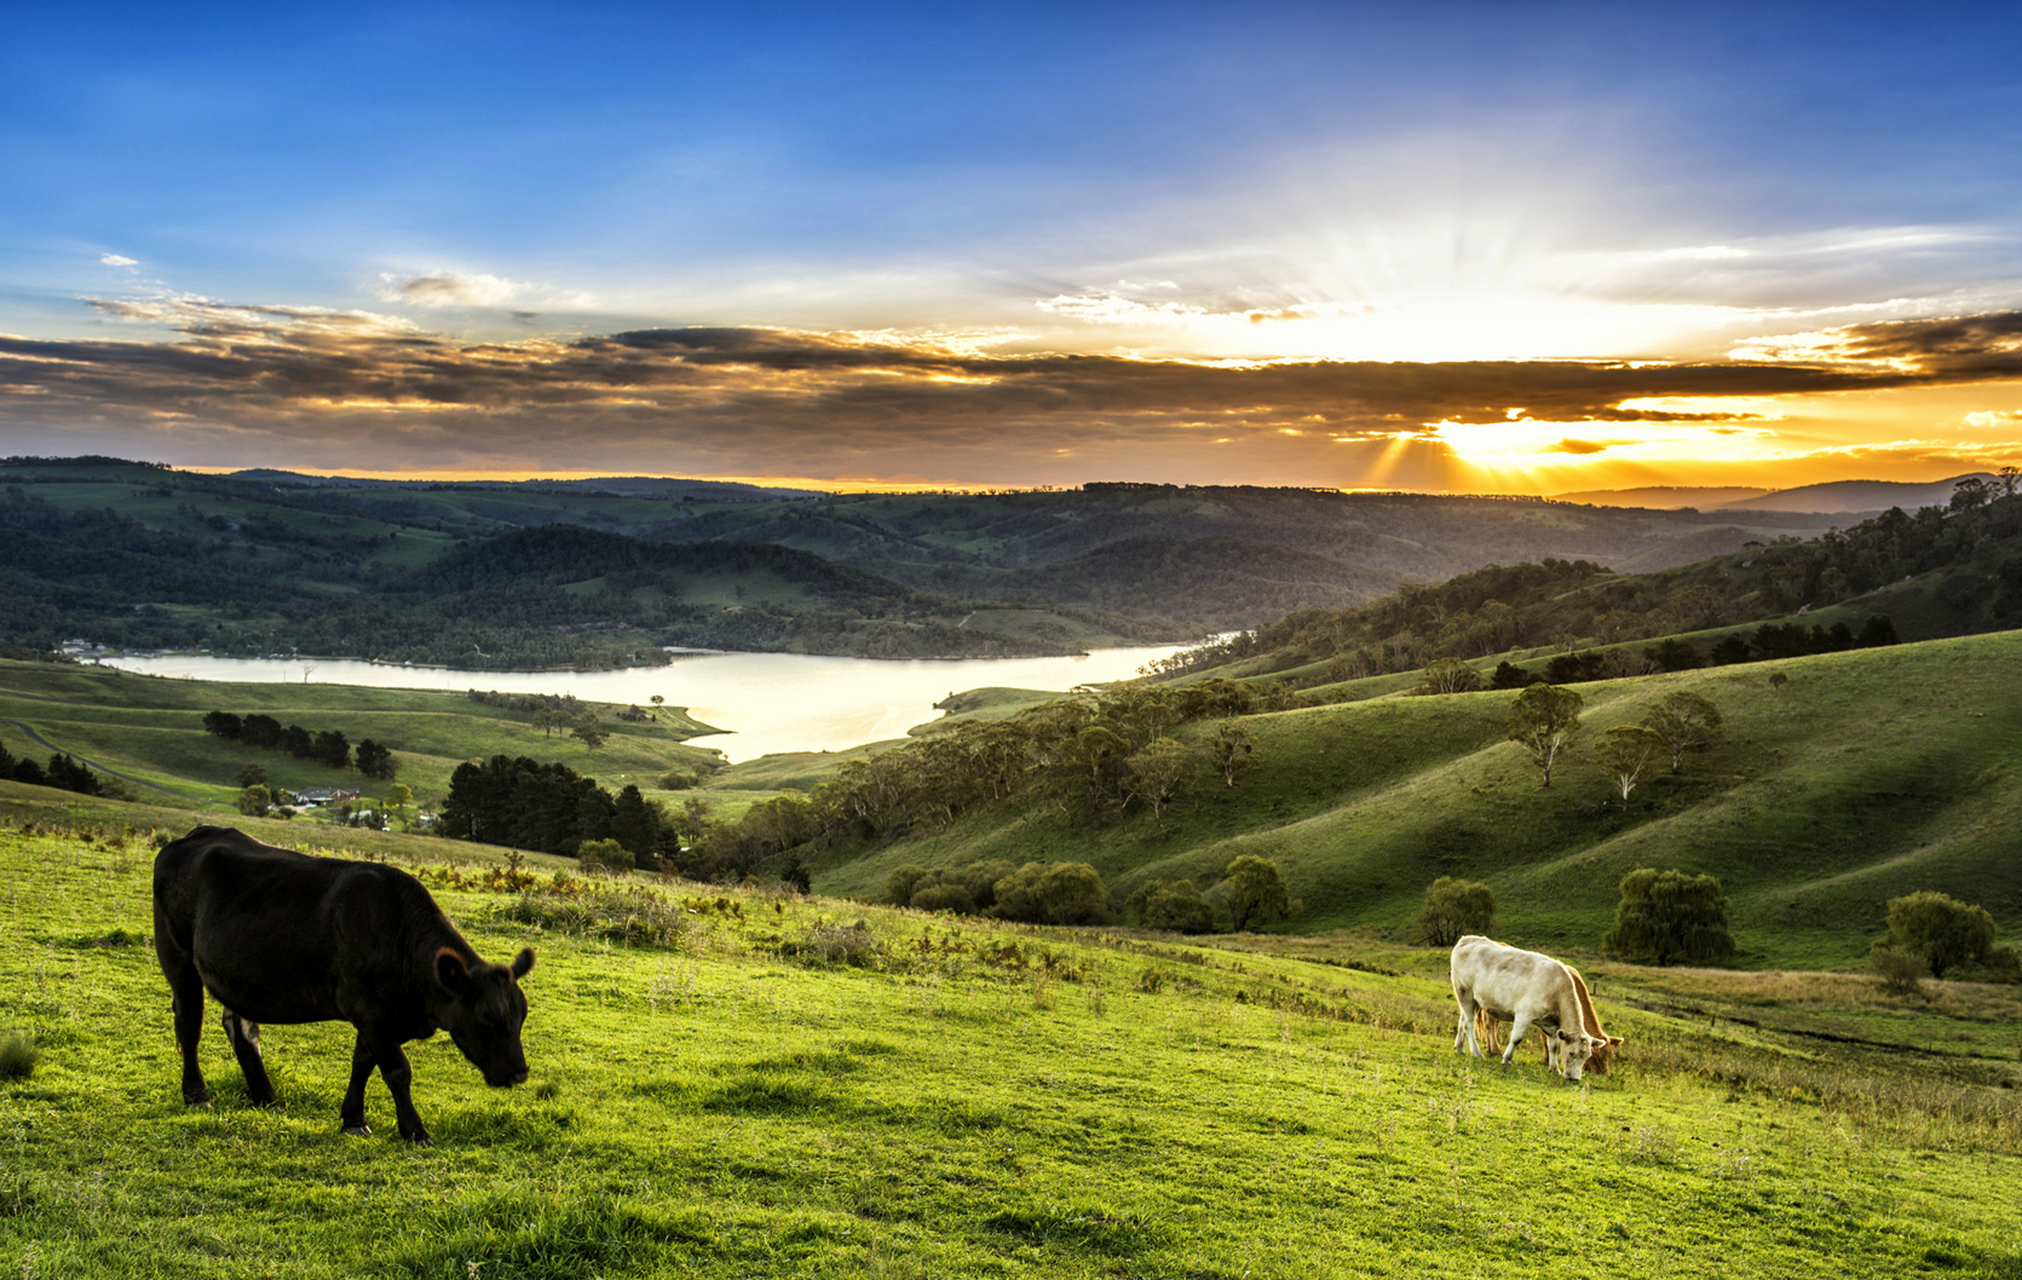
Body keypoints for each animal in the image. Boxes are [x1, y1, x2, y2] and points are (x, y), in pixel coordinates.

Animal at [153, 825, 537, 1140]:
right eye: (489, 1017)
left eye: (521, 1017)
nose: (519, 1073)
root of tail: (194, 835)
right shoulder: (370, 1009)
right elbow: (397, 1071)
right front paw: (414, 1130)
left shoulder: (375, 1016)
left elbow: (363, 1064)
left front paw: (353, 1119)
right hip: (177, 955)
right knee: (188, 1024)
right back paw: (197, 1095)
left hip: (237, 977)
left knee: (242, 1030)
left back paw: (267, 1098)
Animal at [1447, 930, 1601, 1075]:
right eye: (1571, 1053)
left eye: (1586, 1057)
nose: (1574, 1078)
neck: (1556, 987)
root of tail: (1467, 939)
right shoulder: (1524, 1014)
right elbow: (1516, 1039)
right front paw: (1506, 1059)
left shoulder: (1552, 1025)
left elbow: (1553, 1046)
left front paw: (1554, 1068)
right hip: (1464, 991)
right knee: (1469, 1024)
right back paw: (1476, 1052)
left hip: (1472, 999)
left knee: (1462, 1020)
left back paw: (1459, 1048)